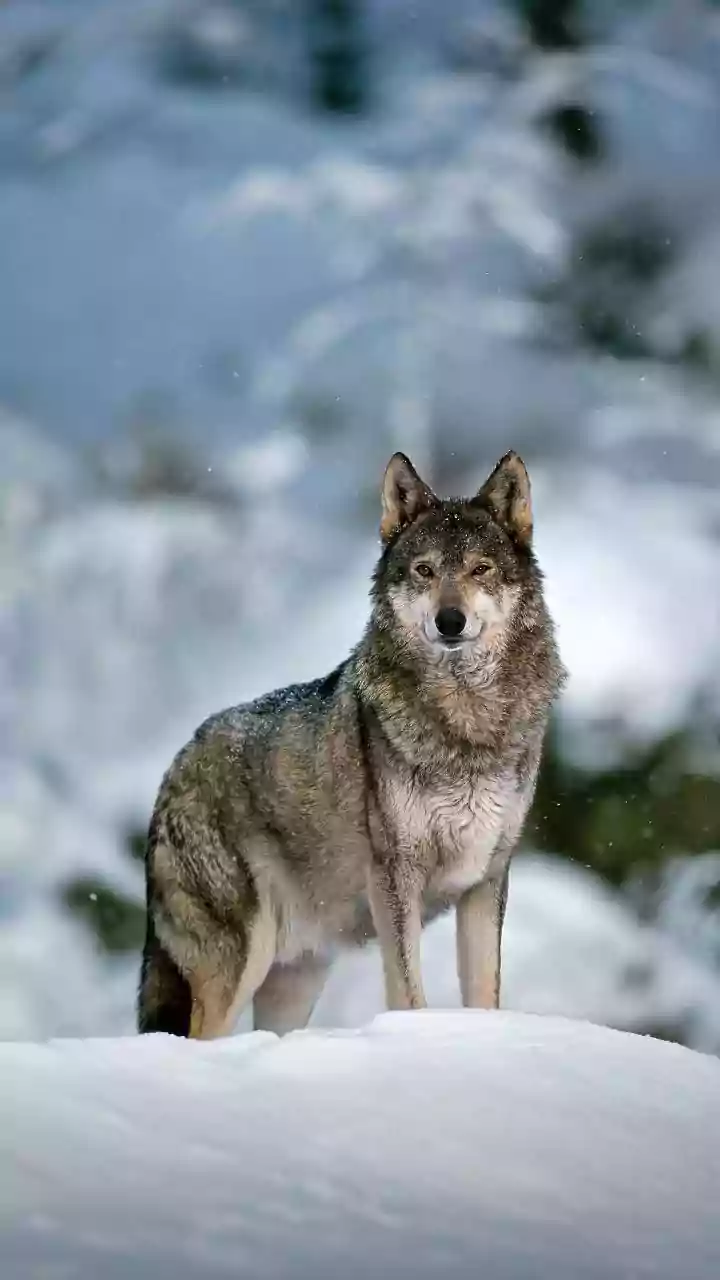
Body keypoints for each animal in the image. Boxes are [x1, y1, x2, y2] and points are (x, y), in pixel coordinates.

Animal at [138, 450, 565, 1038]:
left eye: (481, 570)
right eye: (424, 571)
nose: (449, 621)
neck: (466, 724)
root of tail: (173, 769)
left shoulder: (487, 879)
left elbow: (485, 996)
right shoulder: (395, 879)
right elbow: (408, 994)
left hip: (295, 982)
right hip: (239, 966)